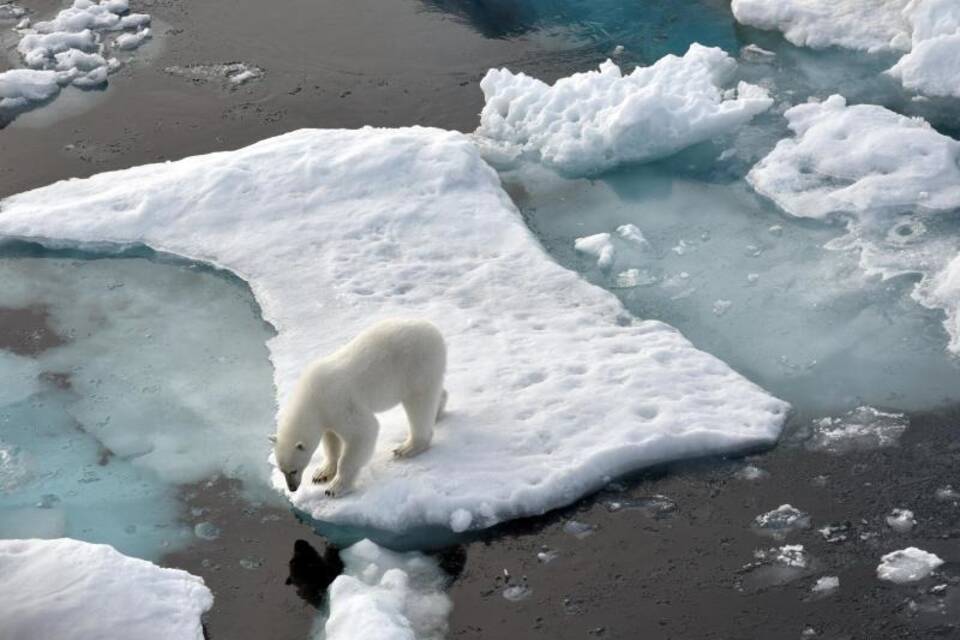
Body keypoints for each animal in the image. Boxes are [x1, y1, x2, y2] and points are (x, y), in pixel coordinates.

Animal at [272, 318, 448, 498]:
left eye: (293, 470)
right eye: (282, 470)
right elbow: (331, 440)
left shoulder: (339, 402)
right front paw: (321, 473)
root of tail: (433, 330)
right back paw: (438, 410)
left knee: (419, 404)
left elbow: (363, 431)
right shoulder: (327, 414)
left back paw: (408, 447)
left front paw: (335, 487)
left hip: (417, 365)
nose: (292, 488)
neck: (312, 396)